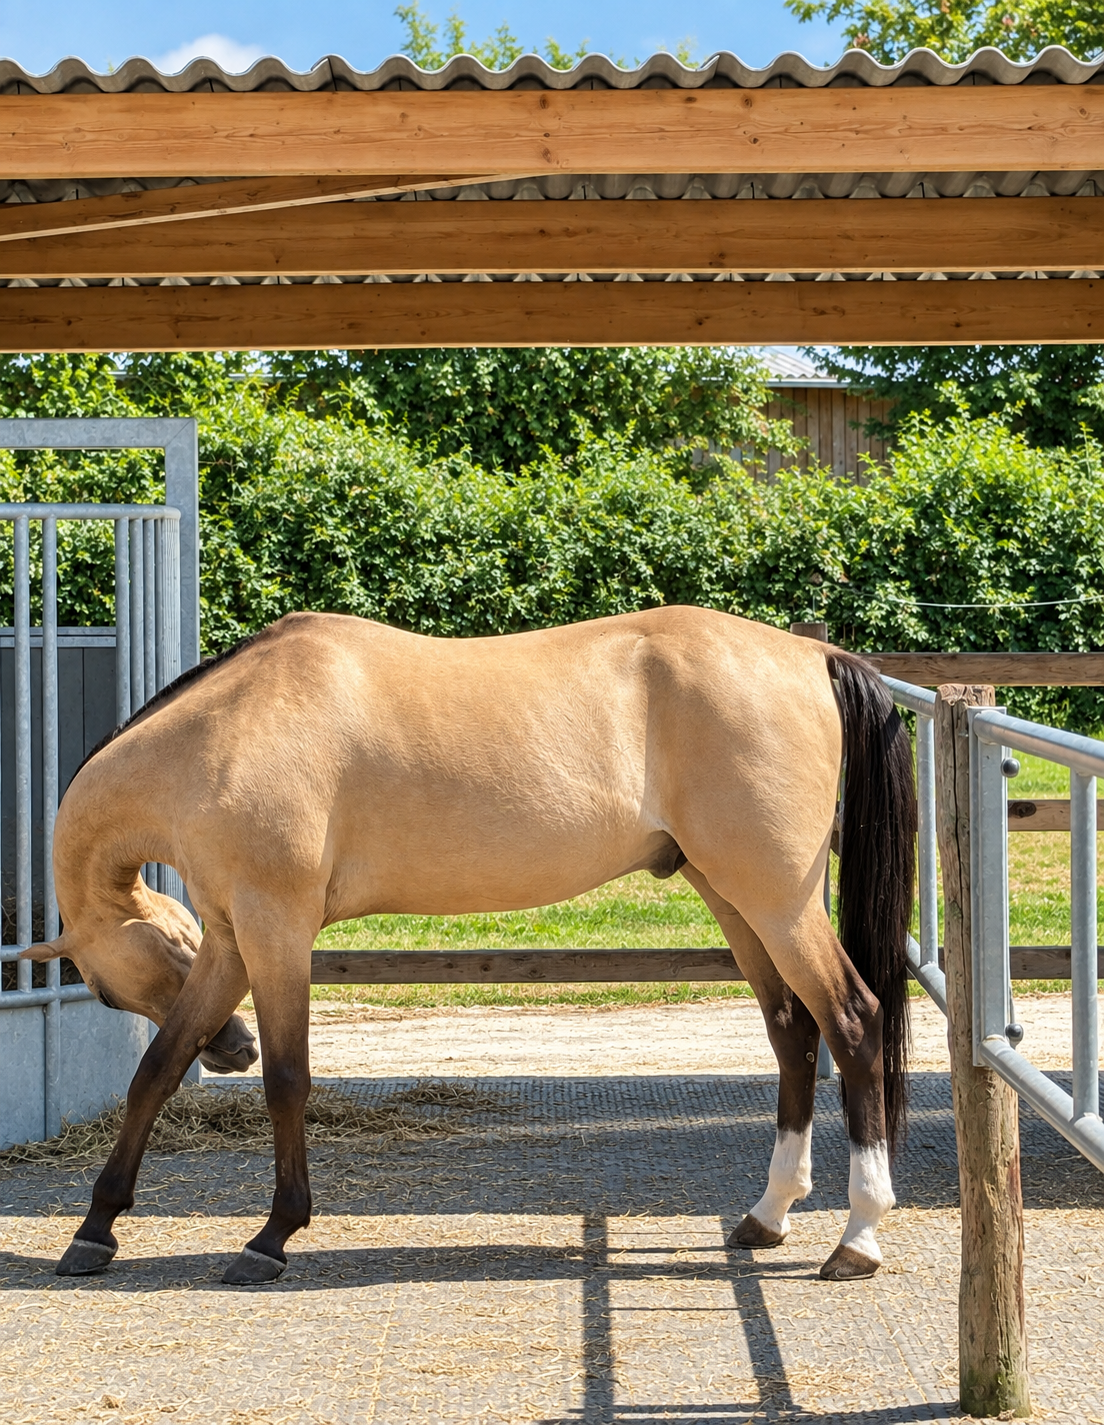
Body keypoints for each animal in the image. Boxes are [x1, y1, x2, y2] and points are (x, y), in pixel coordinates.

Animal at [22, 605, 915, 1286]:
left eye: (101, 990)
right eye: (152, 957)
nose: (233, 1048)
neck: (229, 730)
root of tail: (811, 654)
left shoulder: (275, 929)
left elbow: (288, 1081)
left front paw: (271, 1236)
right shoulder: (231, 940)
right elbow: (157, 1068)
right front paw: (94, 1228)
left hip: (777, 901)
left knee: (853, 1020)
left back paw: (858, 1237)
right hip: (733, 897)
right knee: (792, 1032)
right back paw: (768, 1215)